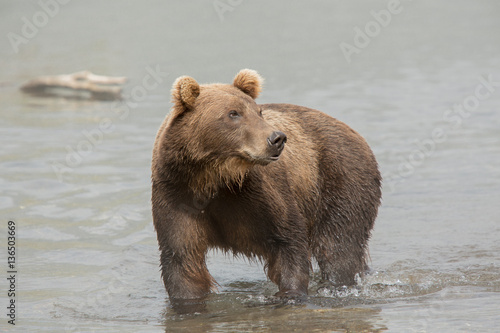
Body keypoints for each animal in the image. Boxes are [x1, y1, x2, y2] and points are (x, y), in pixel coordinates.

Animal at [150, 68, 380, 300]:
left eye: (258, 111)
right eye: (233, 113)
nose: (277, 138)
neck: (215, 177)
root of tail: (355, 133)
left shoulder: (261, 193)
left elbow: (289, 242)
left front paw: (290, 294)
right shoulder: (177, 193)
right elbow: (182, 259)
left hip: (340, 181)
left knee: (338, 247)